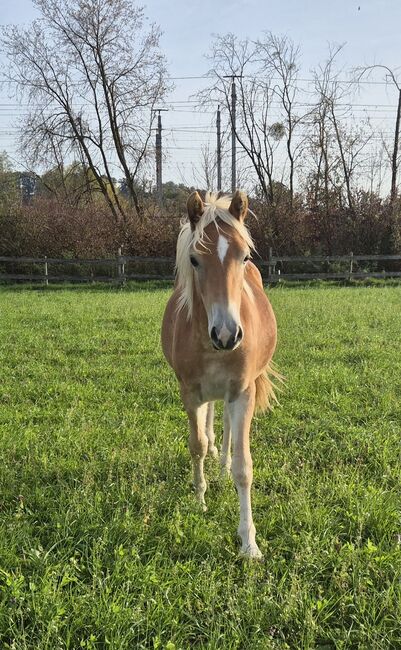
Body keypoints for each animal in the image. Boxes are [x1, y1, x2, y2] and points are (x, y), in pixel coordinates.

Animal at [161, 187, 276, 556]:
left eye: (244, 257)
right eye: (195, 260)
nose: (226, 335)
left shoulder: (242, 392)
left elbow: (244, 467)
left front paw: (249, 542)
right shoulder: (189, 392)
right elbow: (195, 444)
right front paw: (200, 500)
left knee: (225, 421)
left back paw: (222, 464)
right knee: (211, 418)